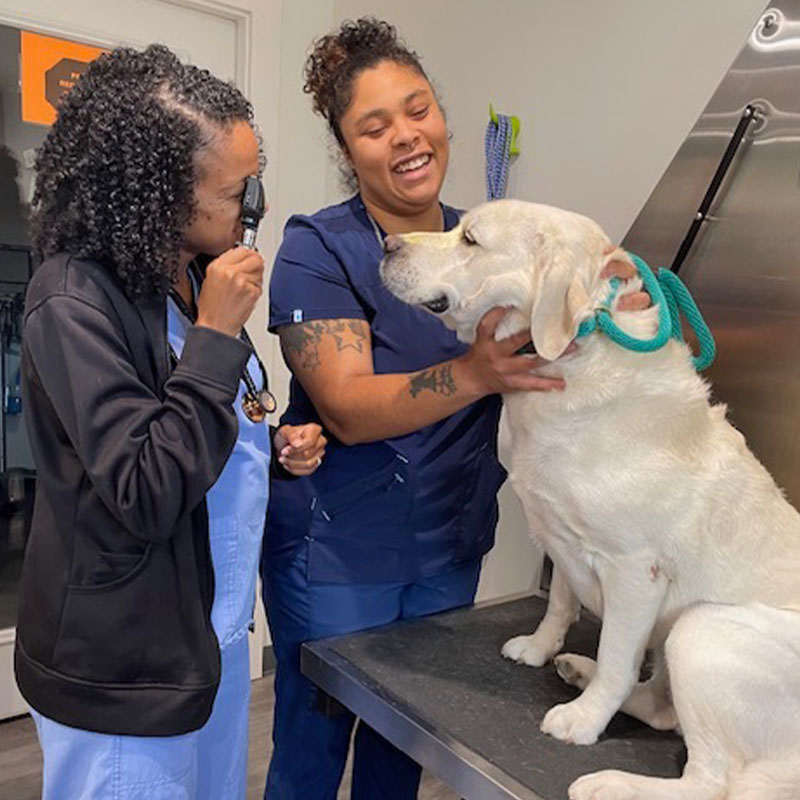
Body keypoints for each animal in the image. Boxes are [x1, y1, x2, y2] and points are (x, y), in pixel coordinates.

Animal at [378, 198, 800, 800]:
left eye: (471, 240)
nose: (387, 243)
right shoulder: (557, 537)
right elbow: (559, 602)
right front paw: (539, 649)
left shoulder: (634, 569)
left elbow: (618, 659)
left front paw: (582, 719)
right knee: (664, 710)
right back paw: (577, 669)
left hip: (701, 632)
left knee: (711, 780)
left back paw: (608, 781)